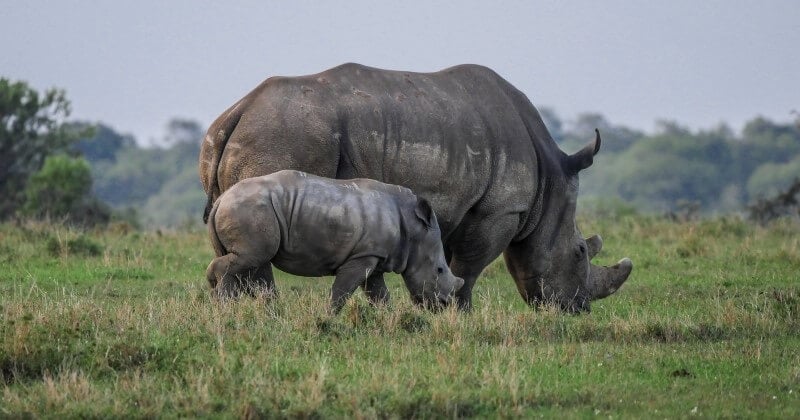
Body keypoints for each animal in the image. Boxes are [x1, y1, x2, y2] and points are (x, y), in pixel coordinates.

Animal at [206, 170, 462, 312]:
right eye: (439, 270)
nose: (443, 305)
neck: (413, 228)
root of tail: (221, 199)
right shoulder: (362, 256)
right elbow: (342, 291)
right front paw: (327, 318)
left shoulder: (373, 256)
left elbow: (379, 295)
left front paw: (392, 320)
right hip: (250, 210)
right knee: (252, 258)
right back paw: (226, 307)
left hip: (246, 209)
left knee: (250, 263)